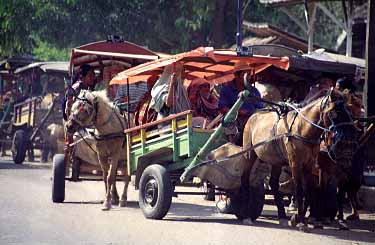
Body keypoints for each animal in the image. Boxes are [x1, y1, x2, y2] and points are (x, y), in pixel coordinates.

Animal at [244, 89, 358, 231]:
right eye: (334, 112)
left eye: (349, 112)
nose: (348, 140)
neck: (302, 129)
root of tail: (254, 115)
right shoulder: (295, 164)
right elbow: (299, 190)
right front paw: (300, 221)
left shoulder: (310, 165)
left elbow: (308, 191)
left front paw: (302, 219)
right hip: (249, 154)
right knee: (246, 178)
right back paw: (247, 215)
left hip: (276, 161)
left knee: (274, 184)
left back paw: (282, 217)